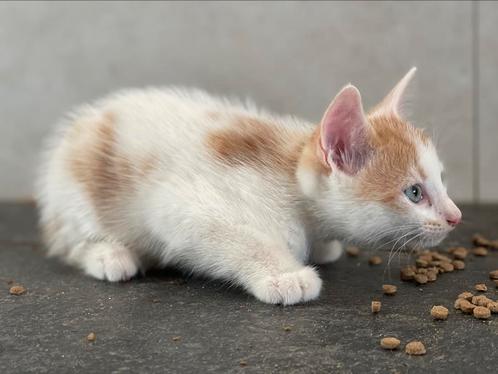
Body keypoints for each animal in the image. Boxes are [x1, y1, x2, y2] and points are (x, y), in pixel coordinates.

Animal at [37, 68, 462, 306]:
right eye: (414, 193)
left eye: (442, 181)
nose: (455, 217)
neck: (291, 183)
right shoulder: (182, 207)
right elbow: (237, 238)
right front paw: (286, 276)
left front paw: (322, 249)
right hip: (76, 191)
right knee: (69, 240)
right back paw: (109, 255)